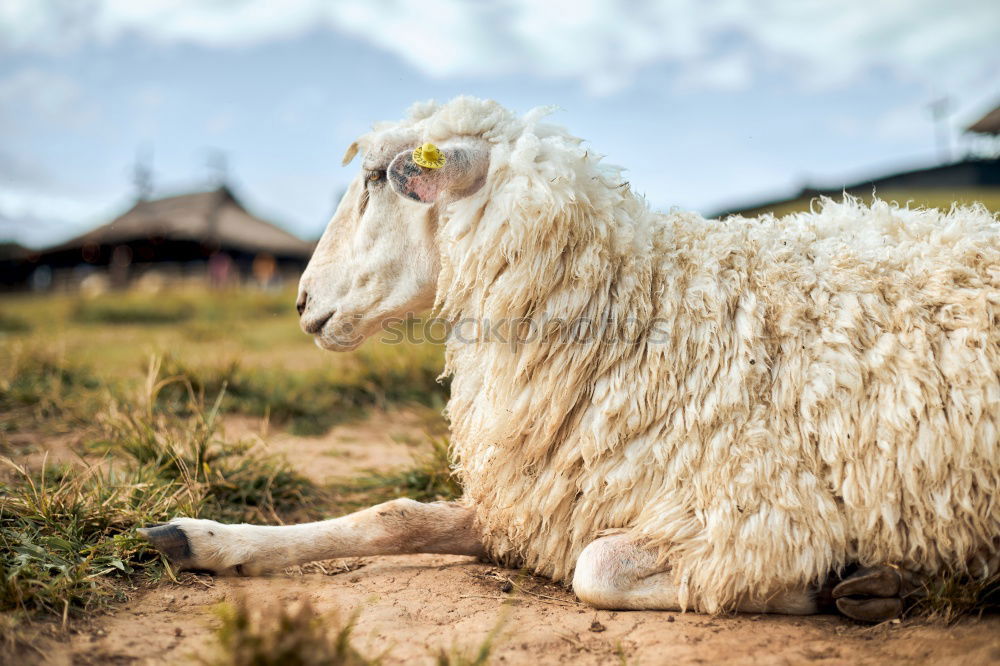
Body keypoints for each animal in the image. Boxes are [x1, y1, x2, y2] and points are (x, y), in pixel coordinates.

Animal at [143, 97, 1000, 624]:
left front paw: (834, 586)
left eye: (375, 179)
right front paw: (204, 539)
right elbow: (391, 516)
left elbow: (599, 570)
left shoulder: (766, 508)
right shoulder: (543, 501)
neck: (641, 305)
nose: (301, 301)